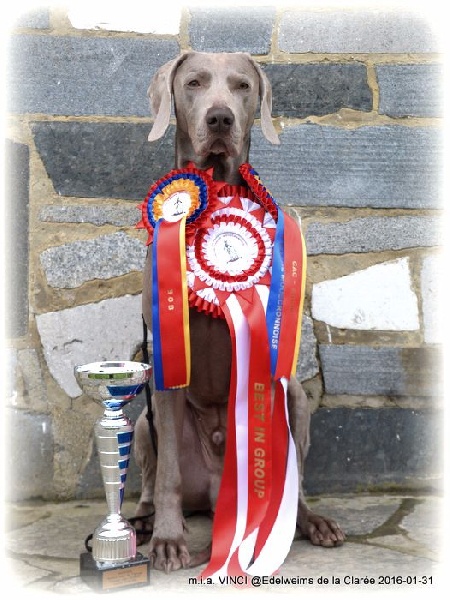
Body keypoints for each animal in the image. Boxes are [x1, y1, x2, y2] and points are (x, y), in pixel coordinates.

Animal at [134, 51, 345, 573]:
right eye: (193, 83)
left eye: (242, 86)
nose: (220, 119)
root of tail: (211, 493)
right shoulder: (168, 364)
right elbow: (166, 473)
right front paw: (169, 540)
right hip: (143, 417)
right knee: (151, 475)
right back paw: (144, 521)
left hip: (297, 400)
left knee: (295, 476)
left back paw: (310, 521)